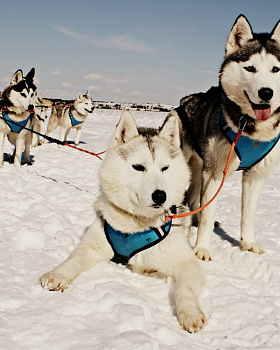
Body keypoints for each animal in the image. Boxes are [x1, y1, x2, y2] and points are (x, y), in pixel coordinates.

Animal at [41, 110, 206, 332]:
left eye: (165, 168)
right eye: (138, 167)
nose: (160, 195)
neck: (135, 225)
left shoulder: (187, 263)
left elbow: (184, 288)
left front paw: (190, 313)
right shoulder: (93, 246)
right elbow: (73, 260)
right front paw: (57, 275)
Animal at [166, 15, 280, 260]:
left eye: (276, 69)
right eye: (250, 68)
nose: (267, 92)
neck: (248, 126)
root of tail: (182, 104)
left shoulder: (256, 175)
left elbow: (248, 214)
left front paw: (248, 243)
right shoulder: (215, 172)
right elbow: (208, 214)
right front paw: (202, 248)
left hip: (199, 167)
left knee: (194, 198)